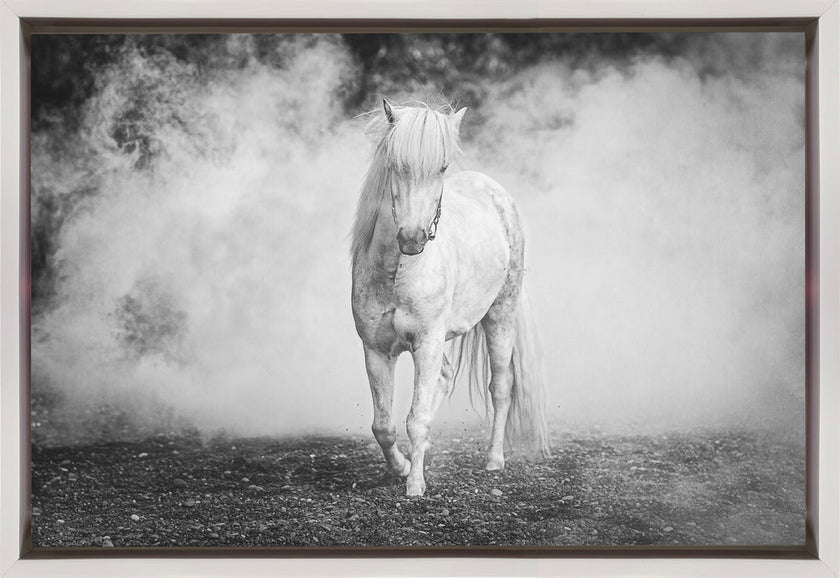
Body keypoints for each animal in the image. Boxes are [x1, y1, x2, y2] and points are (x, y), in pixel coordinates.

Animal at [350, 99, 549, 496]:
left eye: (441, 167)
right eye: (395, 164)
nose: (412, 238)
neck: (398, 271)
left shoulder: (426, 342)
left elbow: (416, 419)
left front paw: (414, 486)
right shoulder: (376, 349)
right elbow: (383, 425)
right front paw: (402, 467)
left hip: (500, 317)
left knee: (501, 386)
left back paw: (494, 460)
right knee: (443, 379)